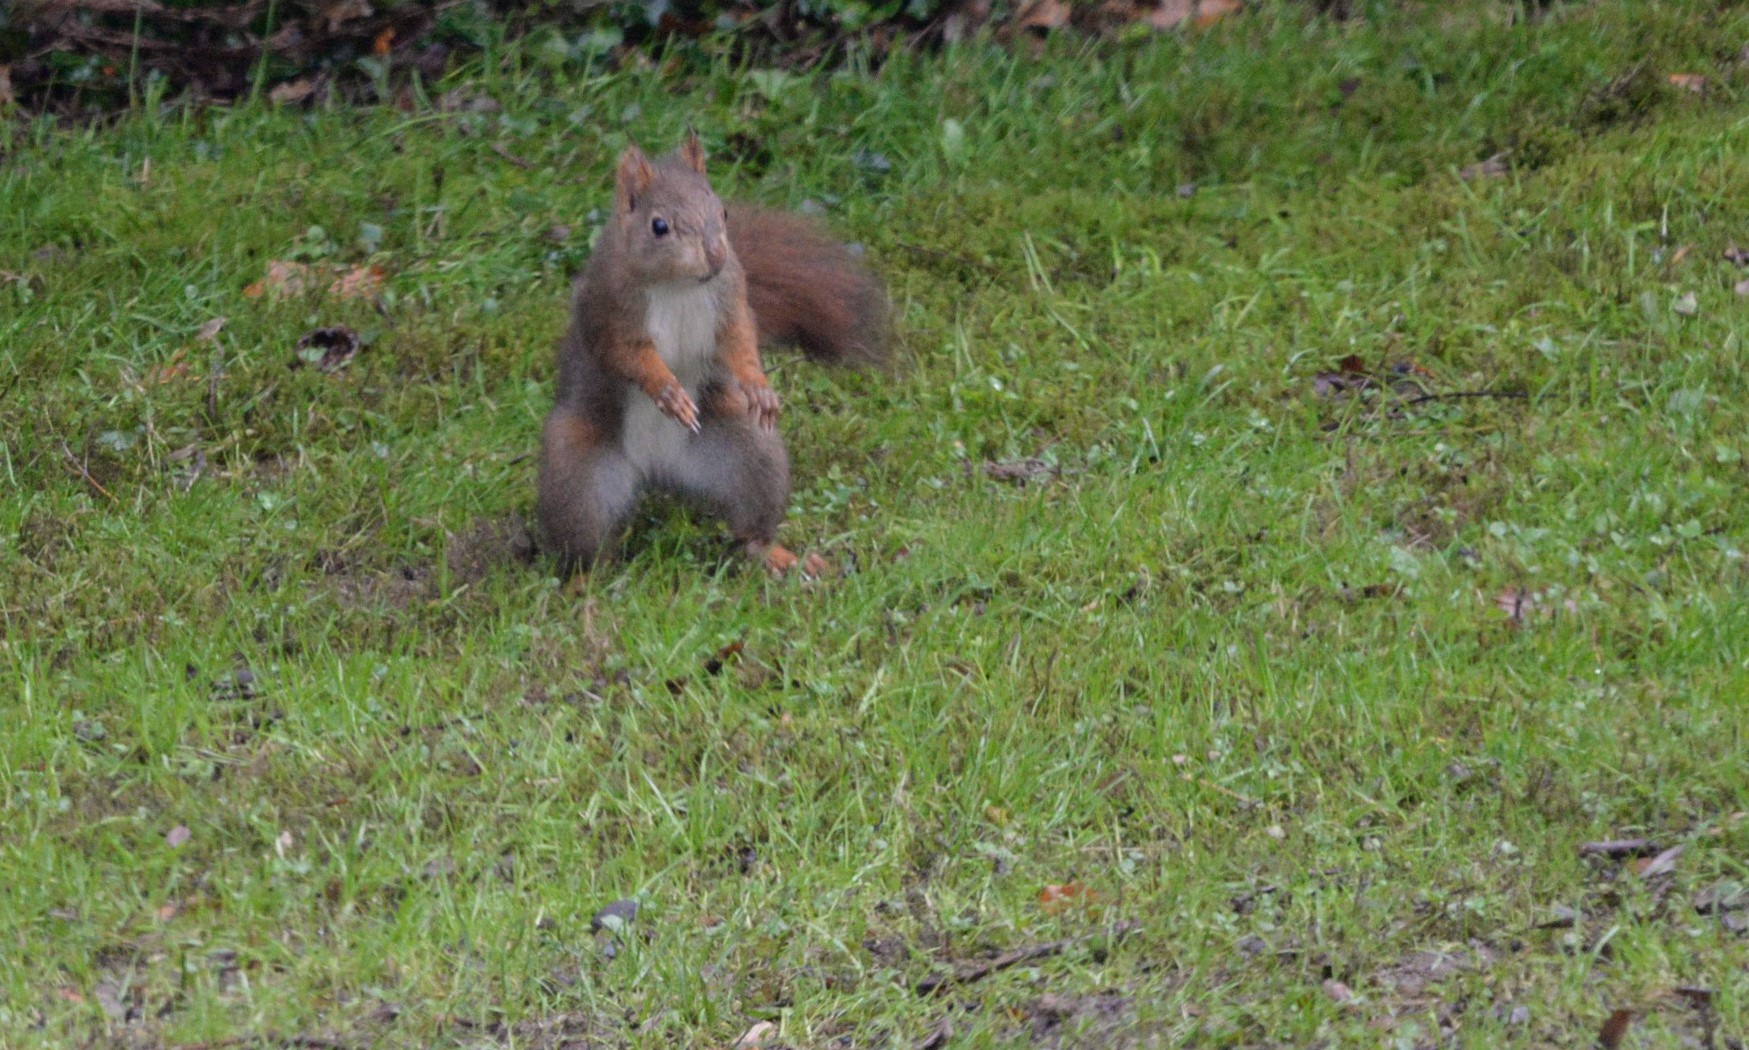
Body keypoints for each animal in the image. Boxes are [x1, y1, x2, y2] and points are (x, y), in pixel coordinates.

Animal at [531, 132, 888, 577]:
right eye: (659, 226)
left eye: (723, 210)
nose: (716, 255)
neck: (679, 284)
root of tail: (657, 470)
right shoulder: (608, 312)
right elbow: (627, 356)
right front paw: (667, 390)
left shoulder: (730, 298)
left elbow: (740, 341)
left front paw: (758, 385)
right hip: (576, 476)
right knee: (584, 542)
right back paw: (585, 580)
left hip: (749, 453)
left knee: (751, 521)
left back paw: (775, 554)